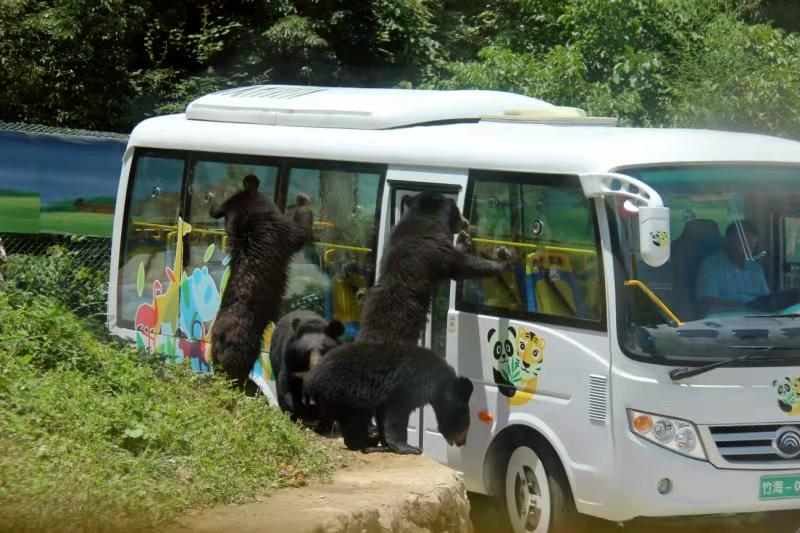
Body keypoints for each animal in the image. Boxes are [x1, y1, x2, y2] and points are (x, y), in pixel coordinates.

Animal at [304, 342, 472, 456]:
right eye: (465, 425)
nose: (462, 442)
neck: (439, 384)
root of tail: (311, 381)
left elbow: (383, 414)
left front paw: (386, 441)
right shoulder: (406, 386)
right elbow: (396, 415)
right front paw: (410, 448)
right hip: (347, 393)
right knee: (356, 419)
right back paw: (369, 445)